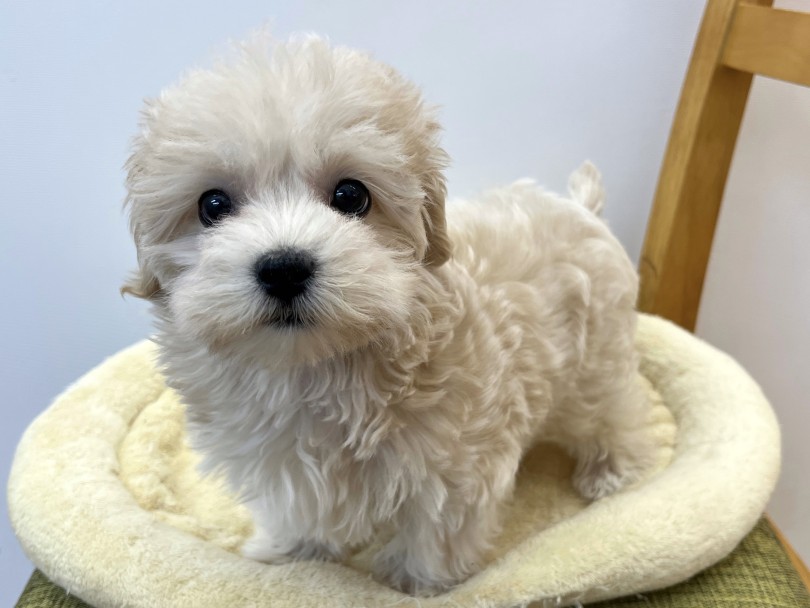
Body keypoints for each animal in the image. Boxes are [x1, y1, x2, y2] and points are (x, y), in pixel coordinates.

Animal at [123, 35, 657, 595]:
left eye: (351, 195)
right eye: (213, 205)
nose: (284, 267)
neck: (313, 367)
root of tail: (581, 208)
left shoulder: (456, 460)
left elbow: (438, 527)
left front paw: (416, 583)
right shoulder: (282, 462)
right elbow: (299, 508)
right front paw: (293, 553)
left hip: (597, 355)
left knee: (617, 408)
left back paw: (613, 469)